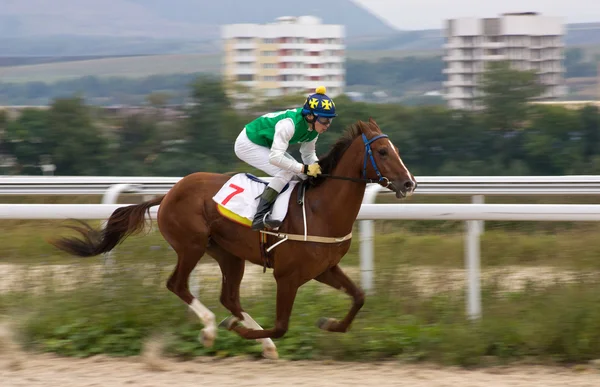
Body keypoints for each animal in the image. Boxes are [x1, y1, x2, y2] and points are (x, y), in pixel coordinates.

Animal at [49, 118, 414, 360]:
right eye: (382, 151)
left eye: (395, 148)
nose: (409, 183)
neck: (320, 209)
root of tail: (168, 194)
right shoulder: (288, 276)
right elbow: (281, 324)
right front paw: (241, 332)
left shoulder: (324, 268)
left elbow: (359, 297)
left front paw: (329, 323)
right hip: (192, 245)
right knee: (178, 284)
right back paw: (212, 328)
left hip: (229, 254)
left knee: (230, 298)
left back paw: (255, 340)